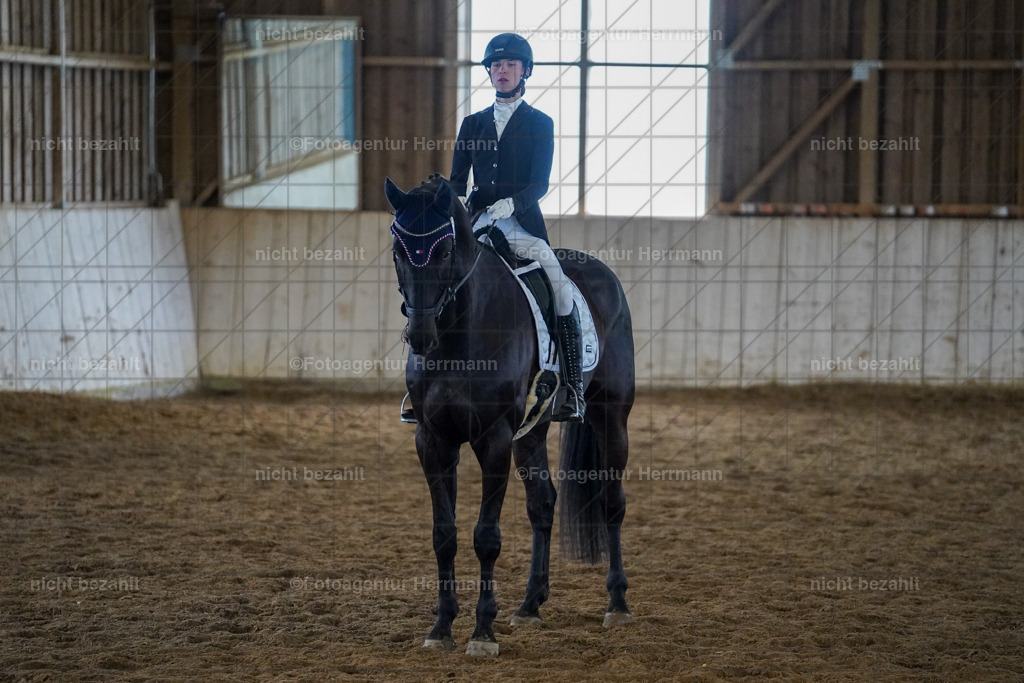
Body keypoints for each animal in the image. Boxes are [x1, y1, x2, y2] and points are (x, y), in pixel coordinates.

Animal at [385, 174, 635, 656]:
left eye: (444, 250)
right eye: (397, 251)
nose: (420, 336)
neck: (458, 335)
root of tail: (601, 272)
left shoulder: (494, 439)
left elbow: (486, 537)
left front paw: (483, 632)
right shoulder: (433, 440)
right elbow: (444, 535)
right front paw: (441, 628)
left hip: (612, 417)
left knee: (612, 503)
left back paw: (617, 604)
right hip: (532, 431)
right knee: (543, 504)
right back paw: (530, 605)